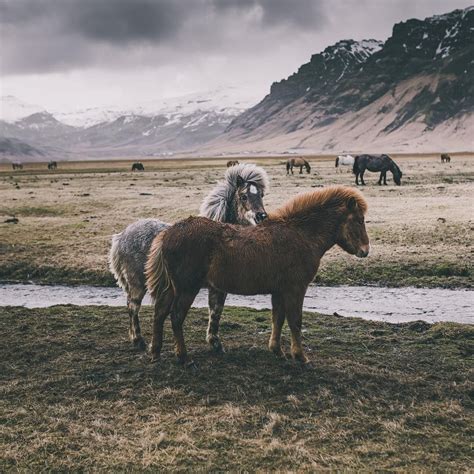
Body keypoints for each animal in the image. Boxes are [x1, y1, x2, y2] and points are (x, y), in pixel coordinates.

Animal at [109, 164, 268, 352]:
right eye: (244, 196)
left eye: (261, 195)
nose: (261, 216)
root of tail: (121, 236)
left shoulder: (218, 288)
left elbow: (216, 311)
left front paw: (214, 342)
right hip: (137, 284)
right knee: (132, 307)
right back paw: (138, 340)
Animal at [146, 185, 368, 362]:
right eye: (359, 220)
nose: (365, 251)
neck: (301, 234)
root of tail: (168, 233)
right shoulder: (295, 289)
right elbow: (295, 321)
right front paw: (300, 356)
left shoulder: (279, 291)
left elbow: (278, 319)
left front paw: (277, 351)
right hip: (186, 290)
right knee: (175, 317)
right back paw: (183, 357)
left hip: (172, 289)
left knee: (159, 313)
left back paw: (156, 353)